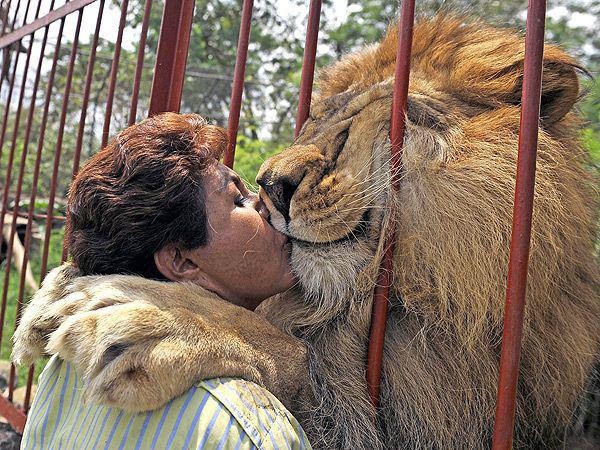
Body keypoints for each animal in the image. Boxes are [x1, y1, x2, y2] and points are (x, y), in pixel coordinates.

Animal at [11, 15, 596, 448]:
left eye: (366, 120)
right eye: (316, 122)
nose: (270, 186)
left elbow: (293, 351)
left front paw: (157, 321)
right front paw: (59, 290)